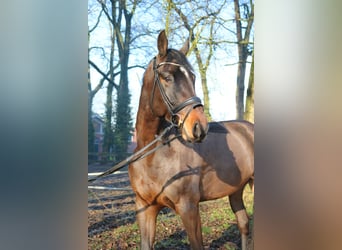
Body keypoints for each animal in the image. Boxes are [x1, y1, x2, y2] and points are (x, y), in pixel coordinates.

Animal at [128, 30, 254, 249]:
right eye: (167, 77)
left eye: (193, 77)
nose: (199, 127)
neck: (152, 156)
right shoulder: (145, 207)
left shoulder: (189, 208)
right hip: (236, 190)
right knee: (244, 224)